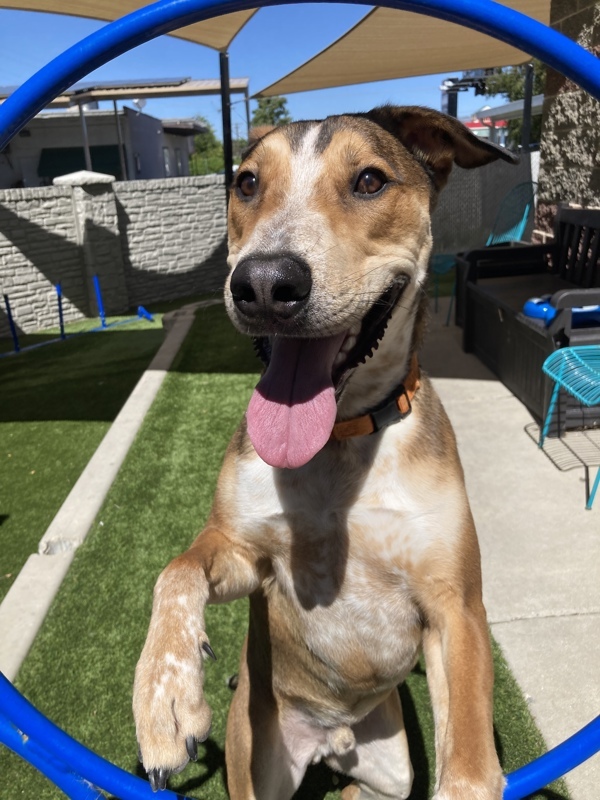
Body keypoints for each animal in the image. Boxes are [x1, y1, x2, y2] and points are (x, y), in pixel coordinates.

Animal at [134, 108, 516, 800]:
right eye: (247, 183)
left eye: (370, 180)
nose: (263, 283)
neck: (340, 442)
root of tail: (332, 737)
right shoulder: (241, 552)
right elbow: (176, 571)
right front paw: (165, 698)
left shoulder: (457, 606)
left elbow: (471, 760)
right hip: (257, 763)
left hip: (392, 769)